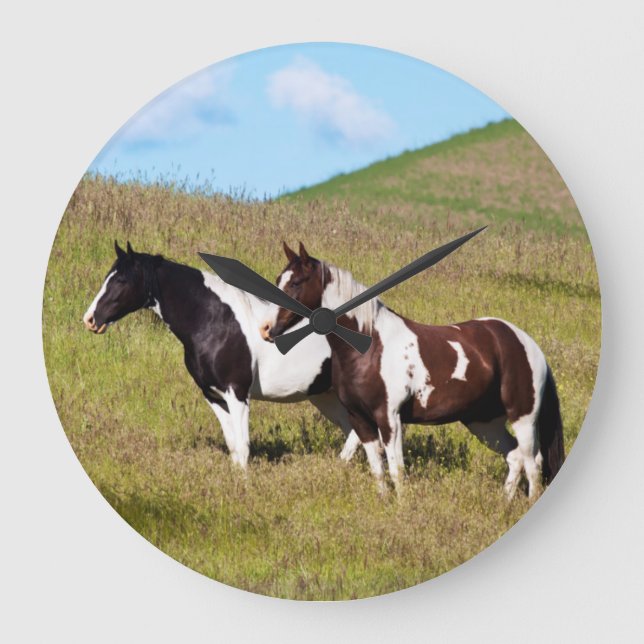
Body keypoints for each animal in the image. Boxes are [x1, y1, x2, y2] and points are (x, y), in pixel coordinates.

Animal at [82, 241, 362, 467]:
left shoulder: (237, 393)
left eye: (121, 280)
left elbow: (243, 447)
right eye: (108, 277)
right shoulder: (213, 395)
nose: (91, 319)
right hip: (325, 396)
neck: (215, 322)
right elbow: (233, 447)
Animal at [262, 242, 565, 498]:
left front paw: (402, 506)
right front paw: (385, 502)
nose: (266, 329)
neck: (369, 347)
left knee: (533, 462)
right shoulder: (360, 419)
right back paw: (505, 501)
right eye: (278, 280)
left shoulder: (390, 418)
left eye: (296, 282)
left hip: (523, 417)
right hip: (483, 421)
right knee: (515, 457)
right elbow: (377, 469)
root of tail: (526, 343)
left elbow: (397, 469)